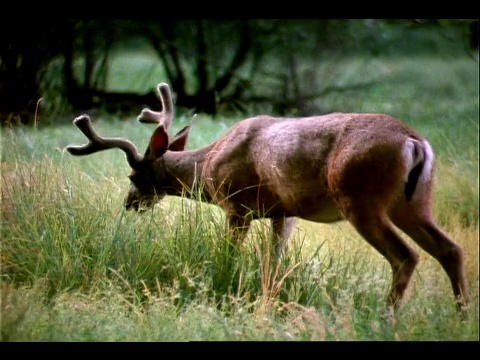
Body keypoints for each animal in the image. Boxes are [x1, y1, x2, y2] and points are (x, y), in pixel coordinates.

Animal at [65, 81, 470, 316]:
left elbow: (230, 253)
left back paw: (386, 318)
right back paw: (463, 315)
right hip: (414, 202)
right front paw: (269, 300)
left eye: (134, 176)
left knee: (405, 256)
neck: (208, 165)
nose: (130, 203)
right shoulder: (283, 212)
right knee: (450, 249)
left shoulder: (236, 203)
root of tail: (414, 142)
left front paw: (226, 284)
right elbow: (274, 261)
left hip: (361, 198)